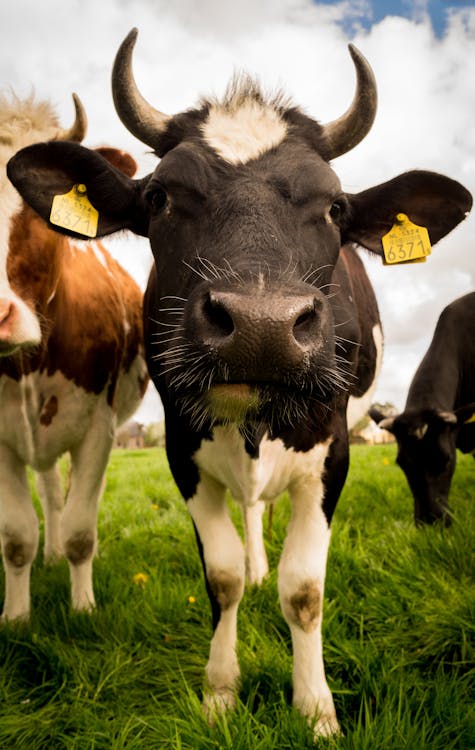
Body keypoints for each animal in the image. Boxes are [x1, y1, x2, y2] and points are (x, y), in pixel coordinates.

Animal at [0, 92, 148, 624]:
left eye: (36, 206)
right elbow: (17, 536)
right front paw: (16, 616)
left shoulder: (99, 427)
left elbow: (82, 527)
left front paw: (83, 607)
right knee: (47, 489)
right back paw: (50, 554)